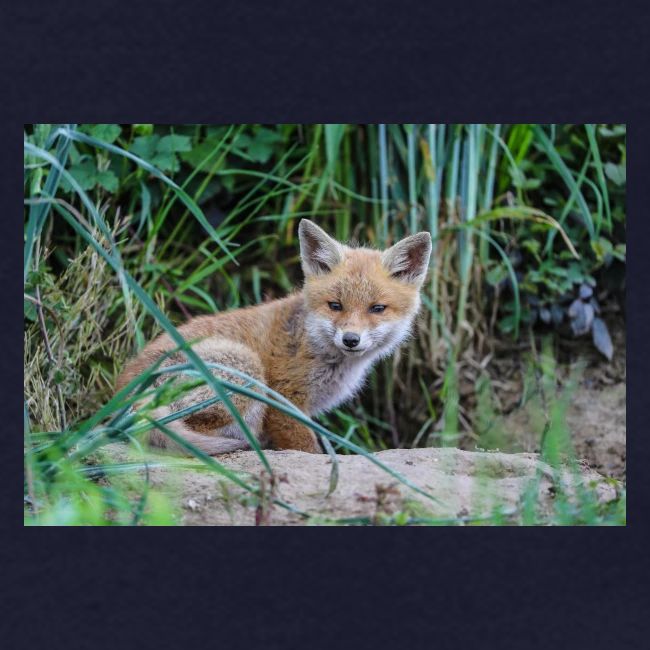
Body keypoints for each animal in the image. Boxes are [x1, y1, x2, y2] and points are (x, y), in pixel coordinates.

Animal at [116, 219, 432, 455]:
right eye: (335, 306)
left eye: (377, 309)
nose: (351, 339)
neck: (313, 344)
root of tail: (124, 394)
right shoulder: (284, 400)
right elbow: (307, 448)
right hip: (246, 369)